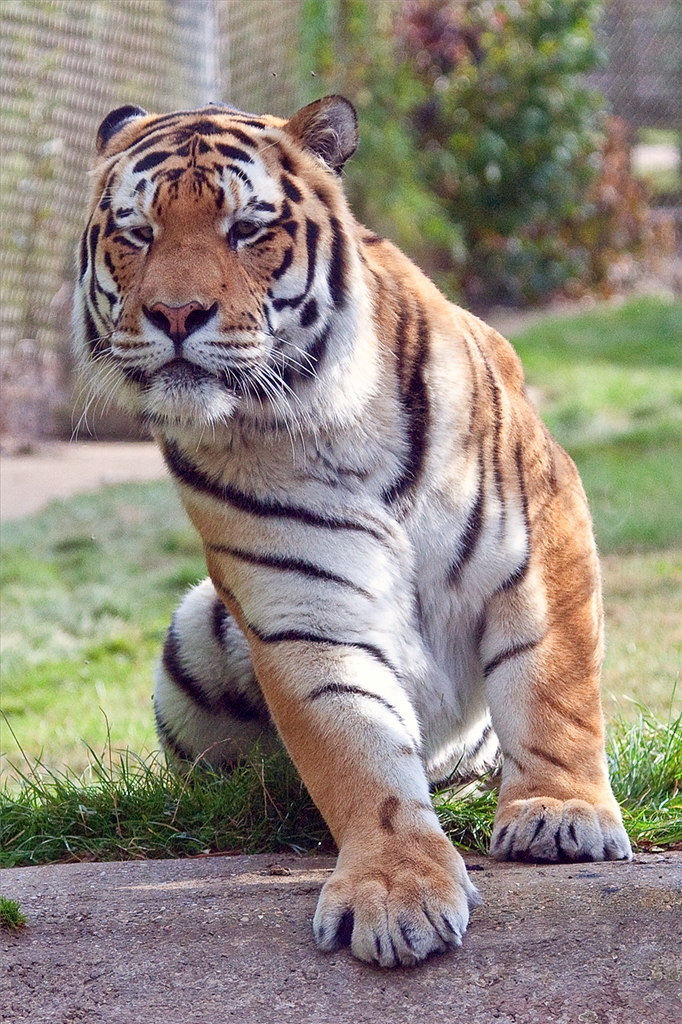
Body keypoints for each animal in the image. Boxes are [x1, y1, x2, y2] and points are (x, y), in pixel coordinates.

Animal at [73, 95, 632, 968]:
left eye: (246, 229)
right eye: (137, 234)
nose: (175, 314)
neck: (321, 420)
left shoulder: (544, 526)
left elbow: (553, 685)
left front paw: (559, 814)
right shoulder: (304, 606)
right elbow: (357, 752)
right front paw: (395, 891)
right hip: (196, 630)